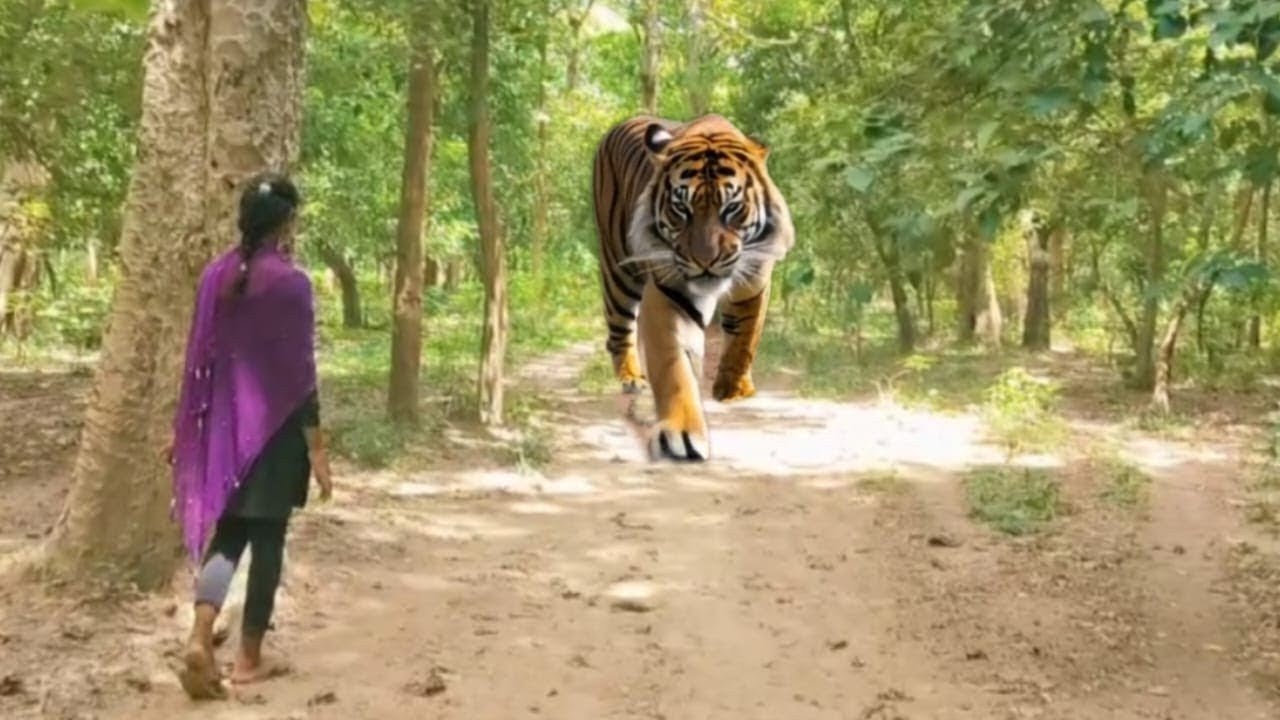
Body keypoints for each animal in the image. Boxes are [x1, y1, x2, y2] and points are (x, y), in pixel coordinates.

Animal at [591, 113, 795, 462]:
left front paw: (733, 390)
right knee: (619, 329)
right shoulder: (669, 293)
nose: (705, 260)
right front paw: (683, 434)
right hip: (618, 269)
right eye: (681, 209)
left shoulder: (754, 283)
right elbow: (675, 368)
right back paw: (630, 377)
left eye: (731, 208)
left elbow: (744, 339)